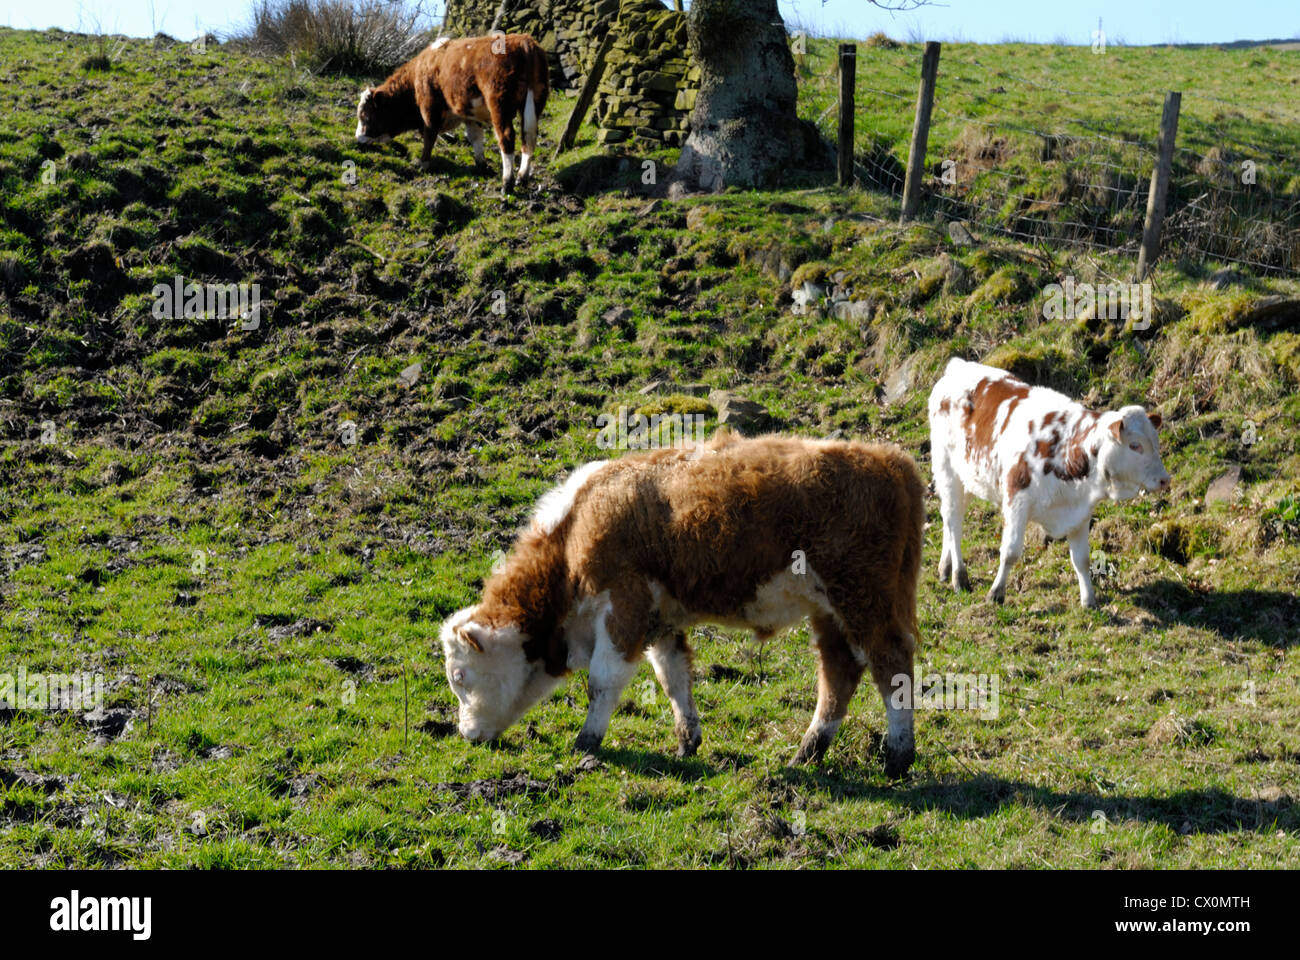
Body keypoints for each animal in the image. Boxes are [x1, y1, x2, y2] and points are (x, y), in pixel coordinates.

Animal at [351, 34, 548, 191]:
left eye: (365, 115)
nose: (358, 138)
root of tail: (522, 40)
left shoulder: (429, 107)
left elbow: (429, 135)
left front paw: (423, 163)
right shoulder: (470, 114)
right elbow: (475, 138)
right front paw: (481, 166)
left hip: (499, 105)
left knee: (507, 138)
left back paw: (507, 182)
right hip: (534, 103)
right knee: (529, 138)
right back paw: (522, 177)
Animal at [441, 429, 930, 775]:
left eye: (460, 675)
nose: (466, 734)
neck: (574, 531)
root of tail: (893, 461)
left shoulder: (623, 609)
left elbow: (603, 681)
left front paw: (587, 743)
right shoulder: (662, 622)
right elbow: (673, 678)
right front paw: (686, 741)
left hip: (865, 602)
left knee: (891, 666)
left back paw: (897, 757)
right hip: (830, 613)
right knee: (839, 674)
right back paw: (807, 753)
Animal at [930, 359, 1175, 606]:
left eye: (1156, 442)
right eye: (1135, 445)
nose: (1165, 479)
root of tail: (959, 365)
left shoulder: (1080, 512)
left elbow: (1082, 559)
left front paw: (1089, 599)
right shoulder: (1016, 501)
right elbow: (1010, 552)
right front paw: (996, 592)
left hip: (967, 478)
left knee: (950, 518)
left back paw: (945, 567)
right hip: (946, 470)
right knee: (954, 522)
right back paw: (959, 576)